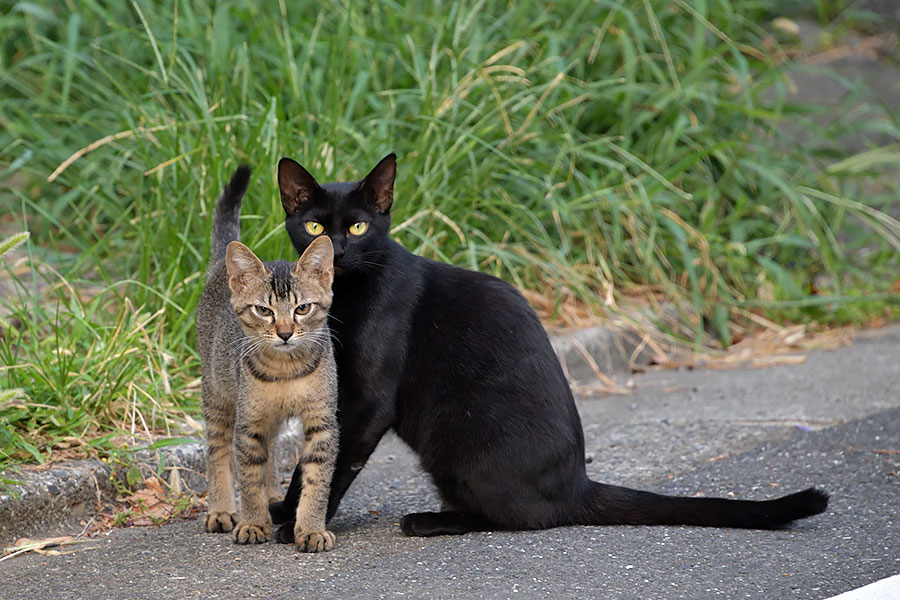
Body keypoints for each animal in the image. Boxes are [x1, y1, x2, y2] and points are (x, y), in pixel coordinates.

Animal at [196, 165, 338, 552]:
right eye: (263, 310)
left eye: (302, 308)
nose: (285, 332)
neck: (286, 370)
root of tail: (219, 268)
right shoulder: (249, 424)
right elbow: (248, 477)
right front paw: (253, 522)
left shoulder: (322, 422)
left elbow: (317, 480)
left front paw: (310, 528)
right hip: (218, 393)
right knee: (217, 449)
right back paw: (221, 509)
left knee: (273, 450)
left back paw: (274, 493)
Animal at [268, 155, 828, 540]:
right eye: (314, 226)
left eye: (358, 226)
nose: (338, 251)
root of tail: (578, 483)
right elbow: (312, 458)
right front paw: (283, 511)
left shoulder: (368, 401)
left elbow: (332, 463)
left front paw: (301, 526)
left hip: (453, 440)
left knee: (520, 517)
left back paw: (427, 521)